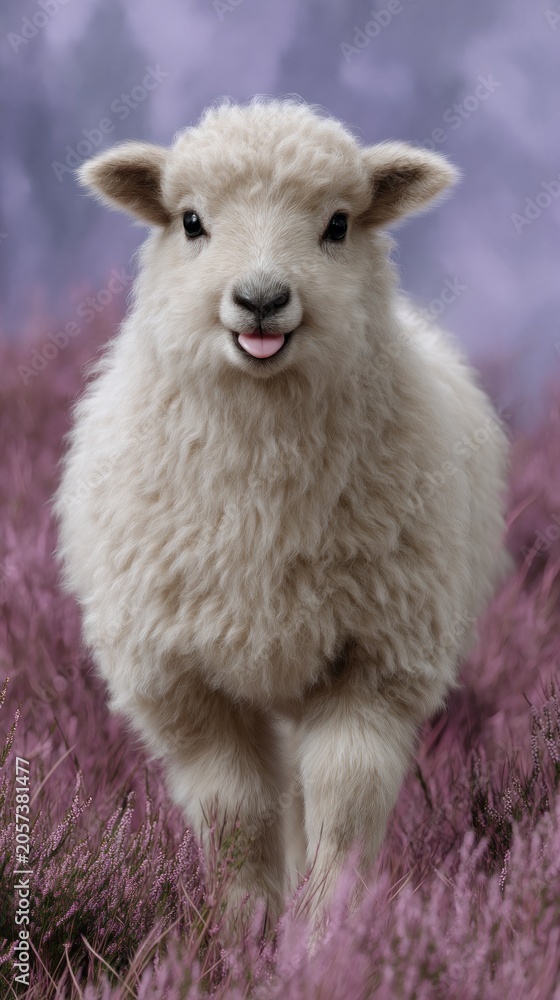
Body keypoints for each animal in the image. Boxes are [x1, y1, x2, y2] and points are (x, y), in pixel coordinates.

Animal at [54, 98, 511, 932]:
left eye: (337, 224)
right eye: (191, 221)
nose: (262, 299)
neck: (262, 500)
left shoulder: (375, 661)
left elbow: (345, 800)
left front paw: (328, 928)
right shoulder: (182, 680)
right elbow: (234, 811)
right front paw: (244, 929)